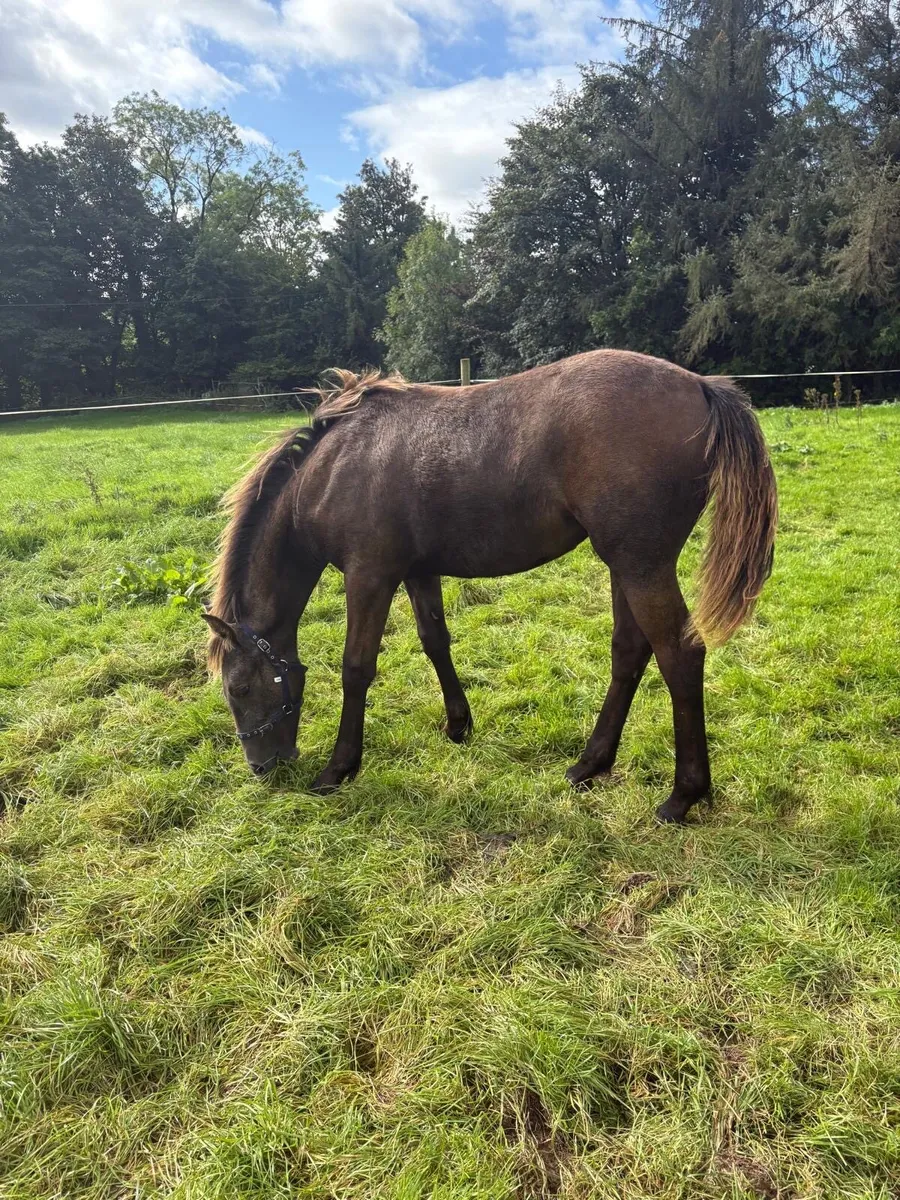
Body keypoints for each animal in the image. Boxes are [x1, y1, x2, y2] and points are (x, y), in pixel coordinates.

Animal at [202, 349, 777, 823]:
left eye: (239, 688)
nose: (262, 767)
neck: (332, 467)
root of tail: (700, 384)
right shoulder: (417, 571)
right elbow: (435, 641)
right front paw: (458, 725)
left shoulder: (370, 577)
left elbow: (356, 668)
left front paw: (339, 767)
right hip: (625, 566)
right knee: (630, 651)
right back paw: (589, 764)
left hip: (642, 566)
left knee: (679, 655)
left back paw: (683, 795)